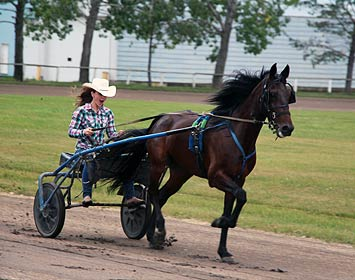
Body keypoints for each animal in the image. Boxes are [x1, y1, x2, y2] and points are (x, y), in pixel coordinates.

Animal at [108, 63, 294, 262]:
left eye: (289, 94)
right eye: (272, 93)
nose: (287, 128)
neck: (236, 134)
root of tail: (162, 118)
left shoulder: (237, 178)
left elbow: (234, 203)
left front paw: (223, 249)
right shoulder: (216, 177)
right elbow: (242, 196)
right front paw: (220, 221)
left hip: (181, 172)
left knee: (162, 194)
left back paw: (153, 236)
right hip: (158, 164)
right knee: (153, 193)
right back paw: (159, 231)